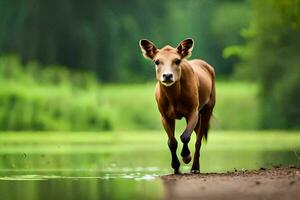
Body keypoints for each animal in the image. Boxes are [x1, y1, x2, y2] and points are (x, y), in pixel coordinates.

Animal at [139, 38, 214, 173]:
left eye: (177, 60)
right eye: (157, 61)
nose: (167, 75)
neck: (174, 98)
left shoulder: (193, 111)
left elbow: (185, 136)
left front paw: (186, 156)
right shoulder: (165, 116)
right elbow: (172, 142)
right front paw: (176, 167)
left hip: (208, 107)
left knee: (198, 140)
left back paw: (195, 167)